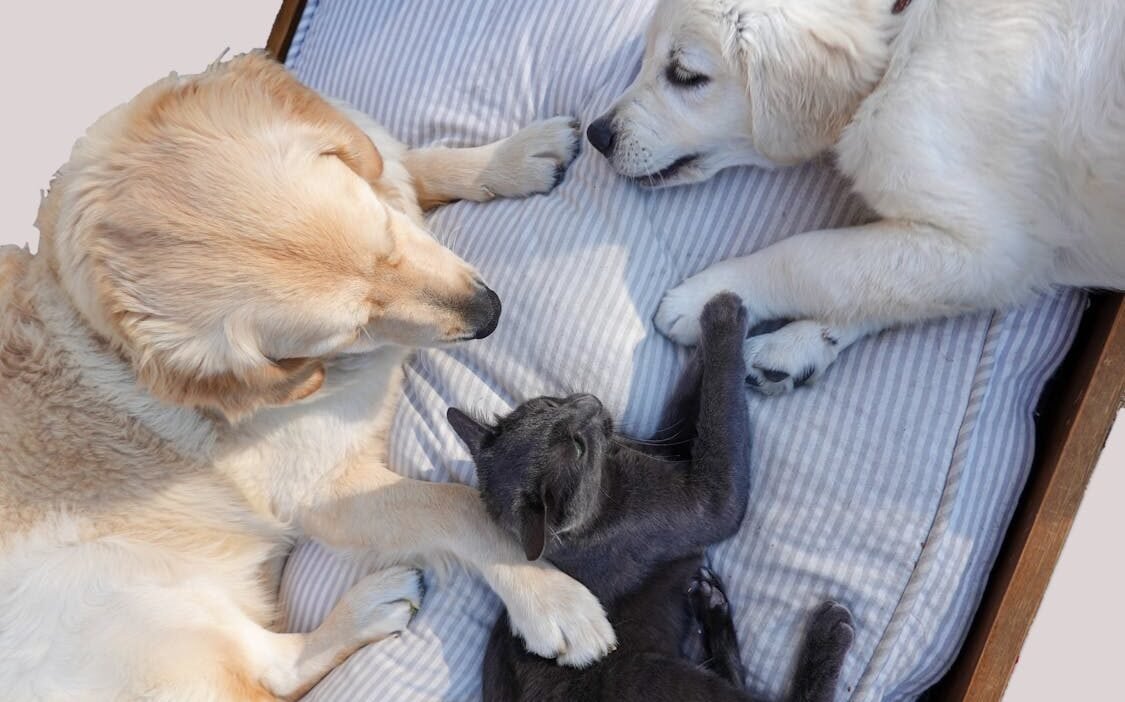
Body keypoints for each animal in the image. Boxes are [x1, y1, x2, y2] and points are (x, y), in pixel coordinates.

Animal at [447, 292, 850, 697]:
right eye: (577, 448)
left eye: (550, 404)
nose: (590, 403)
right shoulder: (705, 499)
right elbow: (722, 408)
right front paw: (725, 312)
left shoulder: (671, 447)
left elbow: (698, 399)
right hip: (657, 678)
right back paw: (829, 632)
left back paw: (710, 603)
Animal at [589, 0, 1125, 396]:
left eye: (685, 74)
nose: (597, 135)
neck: (904, 30)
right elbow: (875, 280)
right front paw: (806, 342)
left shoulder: (995, 248)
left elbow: (814, 258)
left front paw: (709, 297)